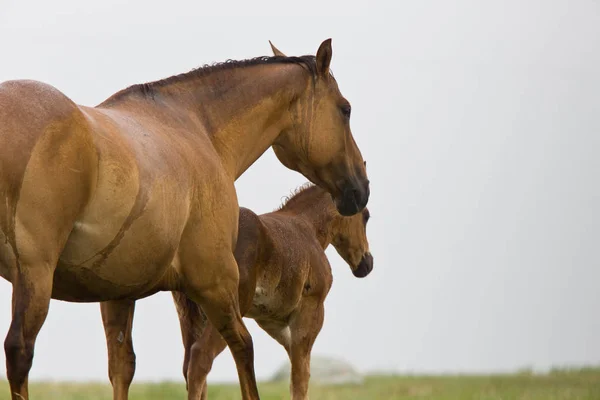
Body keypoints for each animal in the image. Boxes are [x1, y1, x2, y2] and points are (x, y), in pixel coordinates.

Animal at [102, 184, 376, 400]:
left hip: (192, 316)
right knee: (200, 358)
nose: (367, 264)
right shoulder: (310, 312)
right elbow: (300, 377)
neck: (307, 228)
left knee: (188, 364)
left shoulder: (272, 321)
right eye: (366, 216)